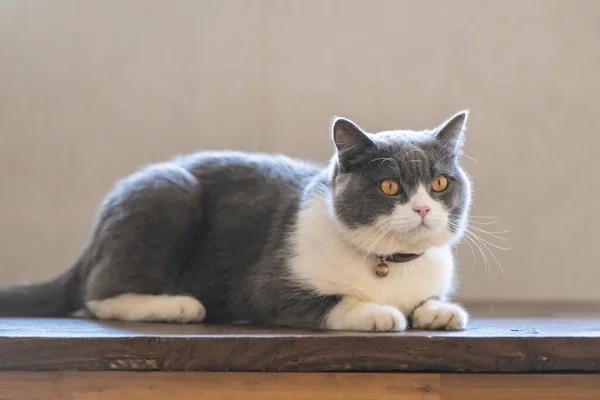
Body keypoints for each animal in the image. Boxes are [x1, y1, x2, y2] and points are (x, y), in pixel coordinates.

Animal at [0, 109, 474, 332]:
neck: (389, 264)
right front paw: (377, 313)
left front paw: (439, 311)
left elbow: (429, 299)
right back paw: (177, 305)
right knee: (97, 293)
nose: (422, 209)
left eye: (439, 183)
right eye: (390, 186)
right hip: (169, 192)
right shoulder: (263, 286)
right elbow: (331, 301)